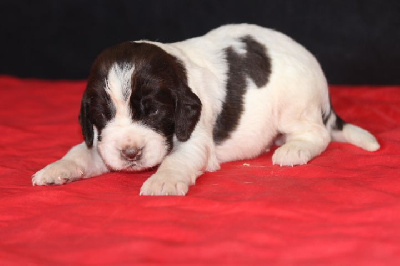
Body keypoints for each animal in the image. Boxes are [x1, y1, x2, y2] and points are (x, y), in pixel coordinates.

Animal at [32, 23, 380, 195]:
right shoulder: (103, 142)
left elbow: (176, 159)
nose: (131, 154)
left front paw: (162, 182)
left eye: (154, 112)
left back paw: (293, 150)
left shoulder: (194, 139)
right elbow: (83, 151)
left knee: (318, 134)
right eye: (104, 115)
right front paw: (56, 169)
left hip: (295, 107)